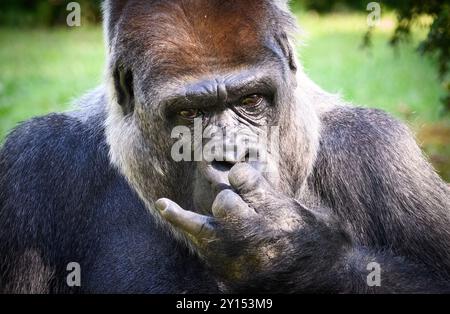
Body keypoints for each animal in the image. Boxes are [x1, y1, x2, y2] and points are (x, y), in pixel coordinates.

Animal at [0, 0, 450, 294]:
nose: (230, 158)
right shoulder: (33, 161)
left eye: (250, 100)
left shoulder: (378, 148)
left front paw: (286, 251)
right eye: (188, 112)